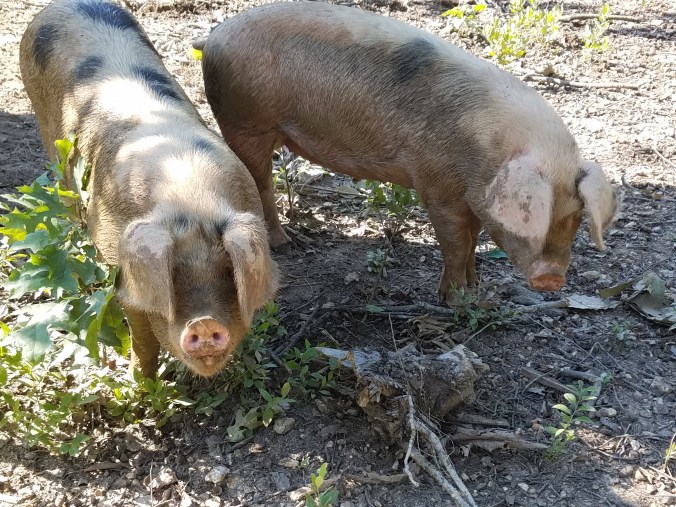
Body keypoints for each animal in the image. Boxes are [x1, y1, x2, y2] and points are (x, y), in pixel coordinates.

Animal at [20, 0, 278, 377]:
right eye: (172, 276)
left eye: (228, 271)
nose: (203, 323)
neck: (191, 201)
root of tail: (59, 6)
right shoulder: (121, 273)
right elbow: (142, 337)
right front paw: (140, 382)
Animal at [194, 1, 618, 301]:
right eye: (529, 213)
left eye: (575, 217)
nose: (552, 278)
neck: (489, 151)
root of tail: (214, 36)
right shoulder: (437, 185)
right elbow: (455, 242)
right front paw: (454, 299)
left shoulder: (471, 196)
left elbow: (473, 238)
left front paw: (477, 287)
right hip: (244, 121)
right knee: (259, 182)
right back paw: (289, 244)